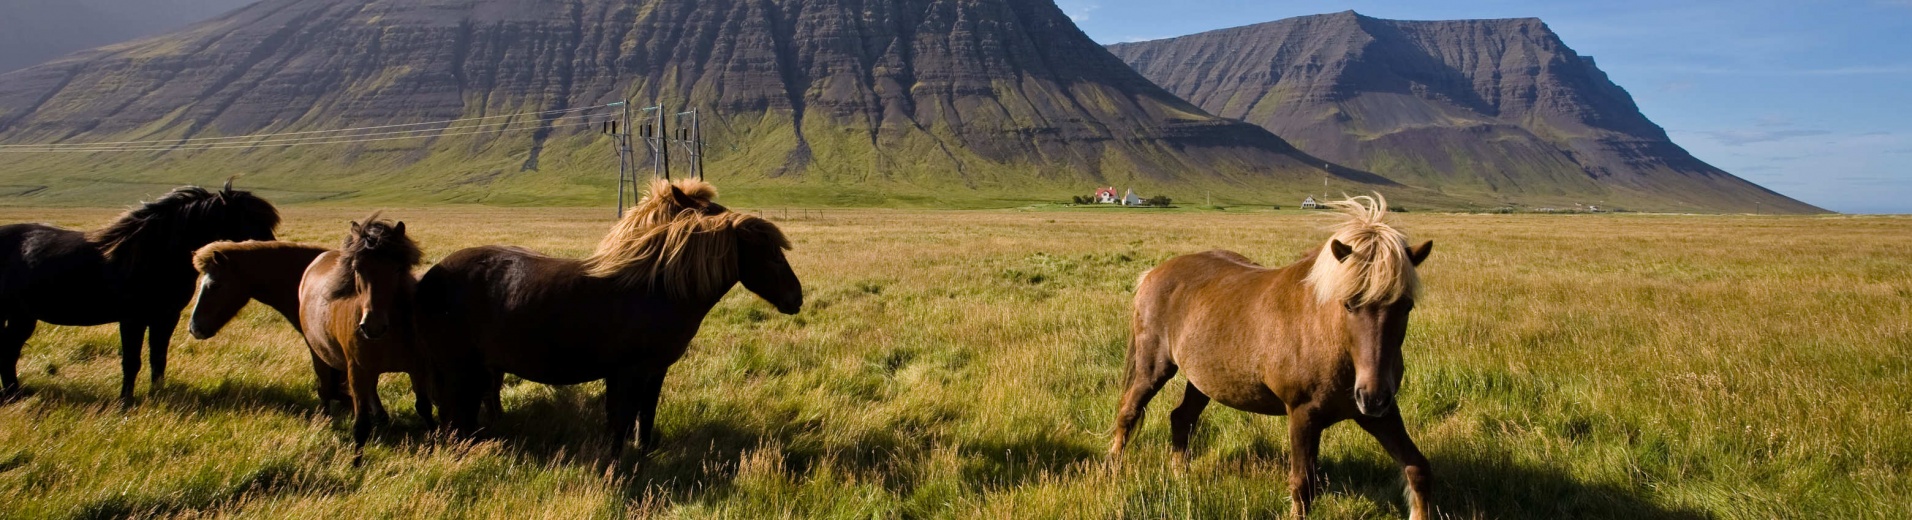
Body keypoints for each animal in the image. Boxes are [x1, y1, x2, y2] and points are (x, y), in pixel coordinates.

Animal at [0, 183, 279, 401]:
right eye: (249, 223)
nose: (275, 257)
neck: (152, 255)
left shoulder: (166, 317)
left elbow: (158, 358)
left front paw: (158, 395)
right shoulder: (132, 319)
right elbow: (131, 361)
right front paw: (126, 401)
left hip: (22, 316)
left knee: (10, 350)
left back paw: (14, 394)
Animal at [296, 214, 432, 455]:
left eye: (397, 268)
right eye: (358, 269)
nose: (372, 325)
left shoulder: (416, 366)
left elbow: (424, 407)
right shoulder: (356, 371)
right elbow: (360, 423)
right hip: (318, 354)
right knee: (324, 387)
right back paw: (325, 418)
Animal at [414, 178, 803, 455]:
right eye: (771, 254)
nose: (796, 297)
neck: (655, 290)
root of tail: (430, 278)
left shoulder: (653, 371)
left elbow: (644, 416)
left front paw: (642, 454)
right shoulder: (626, 373)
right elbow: (620, 421)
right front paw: (615, 469)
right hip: (457, 370)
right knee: (454, 420)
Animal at [1108, 195, 1437, 520]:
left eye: (1406, 306)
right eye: (1348, 304)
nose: (1372, 397)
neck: (1332, 337)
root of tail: (1153, 274)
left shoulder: (1379, 414)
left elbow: (1417, 468)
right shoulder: (1303, 414)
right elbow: (1302, 485)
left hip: (1201, 379)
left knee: (1182, 418)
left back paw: (1180, 478)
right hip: (1154, 367)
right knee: (1129, 412)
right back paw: (1113, 472)